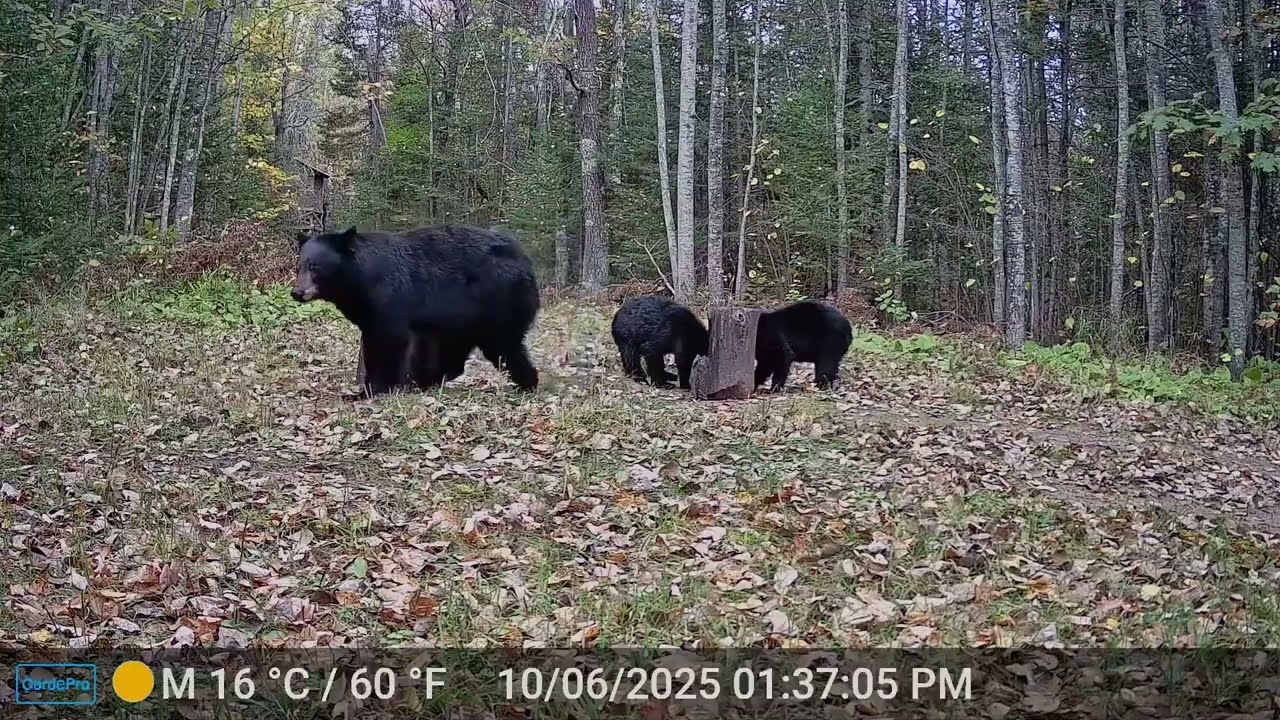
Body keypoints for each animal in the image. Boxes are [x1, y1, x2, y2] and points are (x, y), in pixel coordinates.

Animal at [291, 224, 540, 398]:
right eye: (300, 265)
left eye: (315, 267)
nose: (297, 292)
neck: (358, 281)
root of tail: (525, 261)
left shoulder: (389, 301)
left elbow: (388, 342)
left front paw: (369, 390)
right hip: (460, 319)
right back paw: (424, 381)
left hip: (495, 303)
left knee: (504, 346)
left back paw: (527, 383)